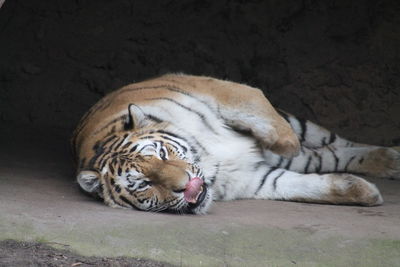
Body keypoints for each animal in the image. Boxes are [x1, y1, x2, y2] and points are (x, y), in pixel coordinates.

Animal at [72, 74, 400, 216]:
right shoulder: (255, 179)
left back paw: (391, 156)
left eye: (163, 154)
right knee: (329, 156)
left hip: (304, 126)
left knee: (334, 142)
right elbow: (307, 186)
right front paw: (366, 193)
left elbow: (256, 107)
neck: (209, 160)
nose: (186, 185)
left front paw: (285, 143)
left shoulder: (219, 90)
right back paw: (389, 162)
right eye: (143, 184)